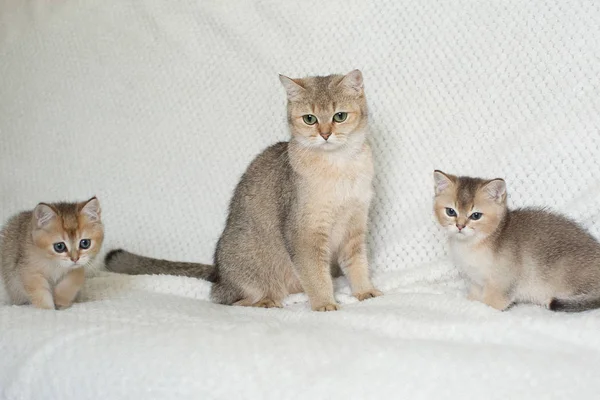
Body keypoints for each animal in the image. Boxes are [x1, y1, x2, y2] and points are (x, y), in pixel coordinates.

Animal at [105, 70, 382, 310]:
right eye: (309, 119)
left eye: (339, 116)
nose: (325, 134)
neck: (340, 167)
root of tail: (219, 273)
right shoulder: (304, 233)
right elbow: (315, 274)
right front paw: (324, 303)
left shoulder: (355, 227)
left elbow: (357, 264)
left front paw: (364, 291)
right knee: (228, 299)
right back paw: (267, 301)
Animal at [434, 170, 600, 312]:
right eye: (450, 211)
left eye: (475, 215)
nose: (460, 226)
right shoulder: (476, 281)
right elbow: (474, 296)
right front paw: (471, 301)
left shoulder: (502, 284)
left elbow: (491, 304)